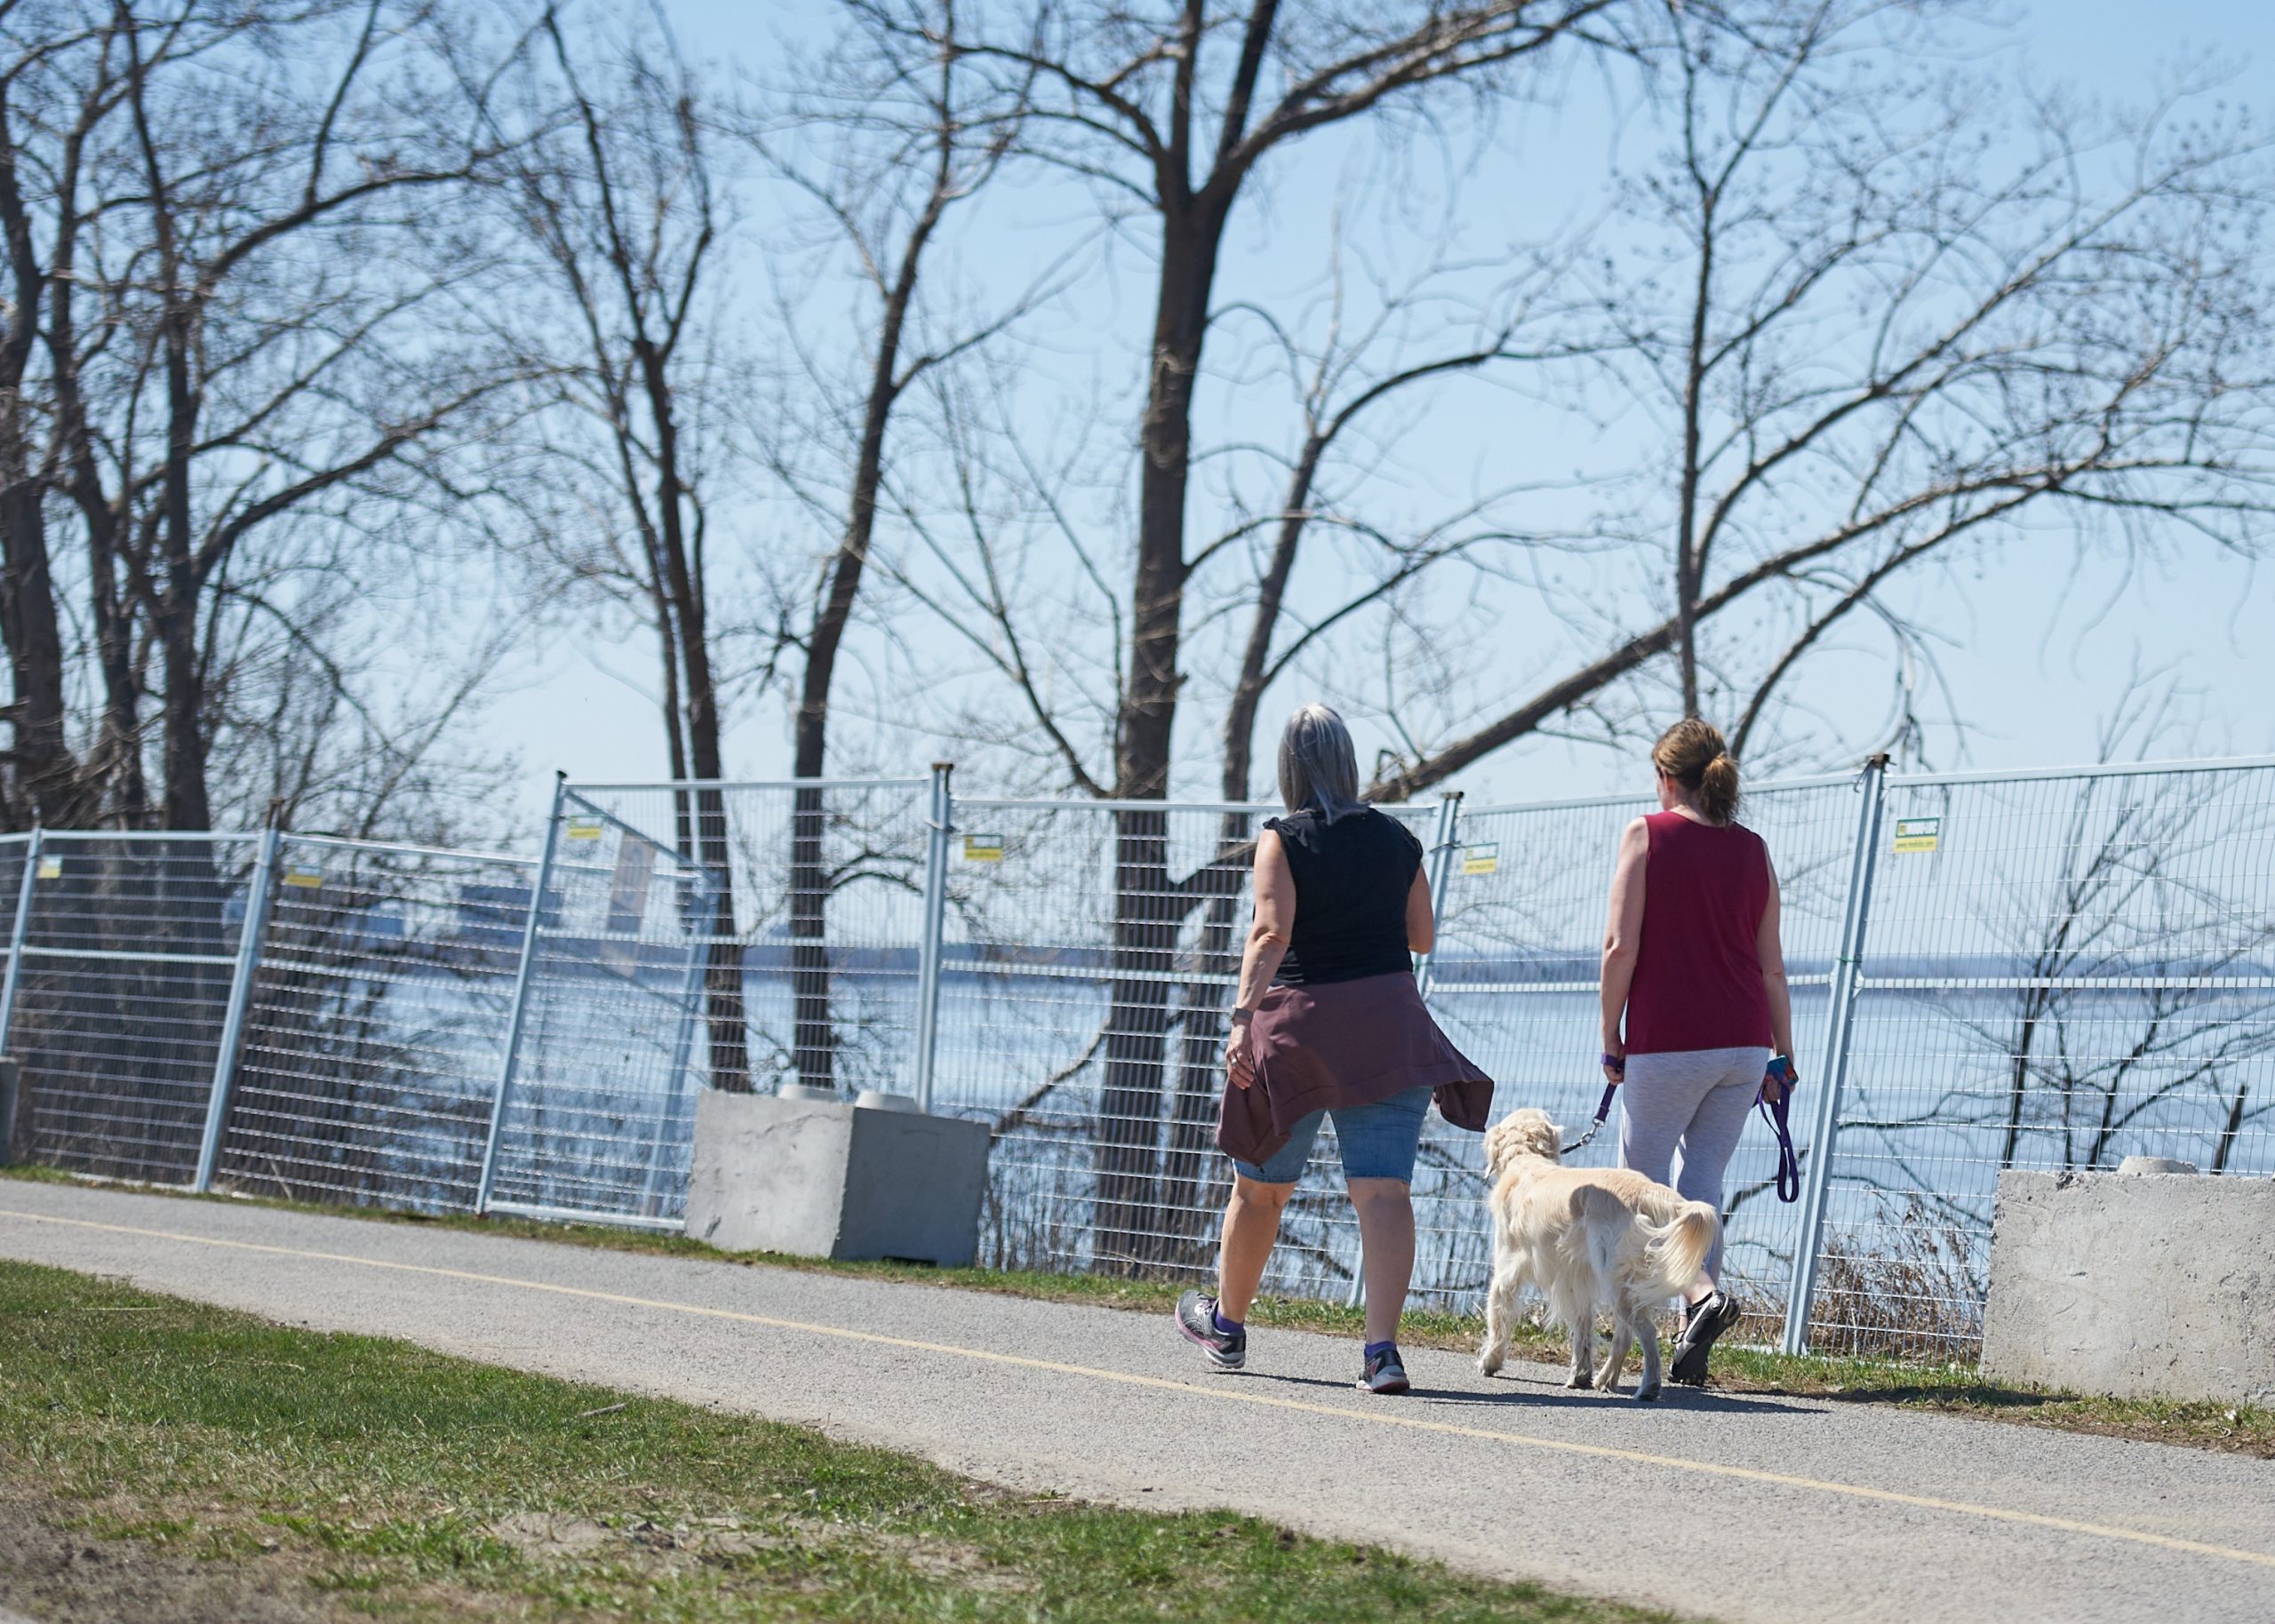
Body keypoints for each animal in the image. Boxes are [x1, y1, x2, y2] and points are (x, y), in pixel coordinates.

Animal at [1473, 1105, 1720, 1401]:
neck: (1526, 1158)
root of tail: (1651, 1193)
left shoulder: (1507, 1269)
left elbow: (1498, 1314)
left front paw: (1490, 1361)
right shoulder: (1576, 1279)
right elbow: (1583, 1325)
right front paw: (1580, 1374)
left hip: (1617, 1279)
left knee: (1645, 1332)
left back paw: (1649, 1386)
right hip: (1629, 1284)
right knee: (1625, 1335)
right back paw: (1605, 1379)